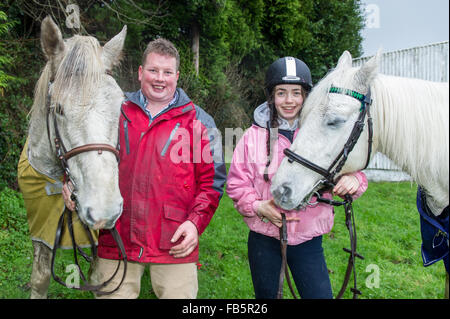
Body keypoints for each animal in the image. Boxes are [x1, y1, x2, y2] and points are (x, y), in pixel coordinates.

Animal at [17, 16, 126, 298]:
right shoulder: (43, 232)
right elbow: (40, 278)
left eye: (120, 105)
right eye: (58, 108)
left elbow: (100, 280)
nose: (104, 211)